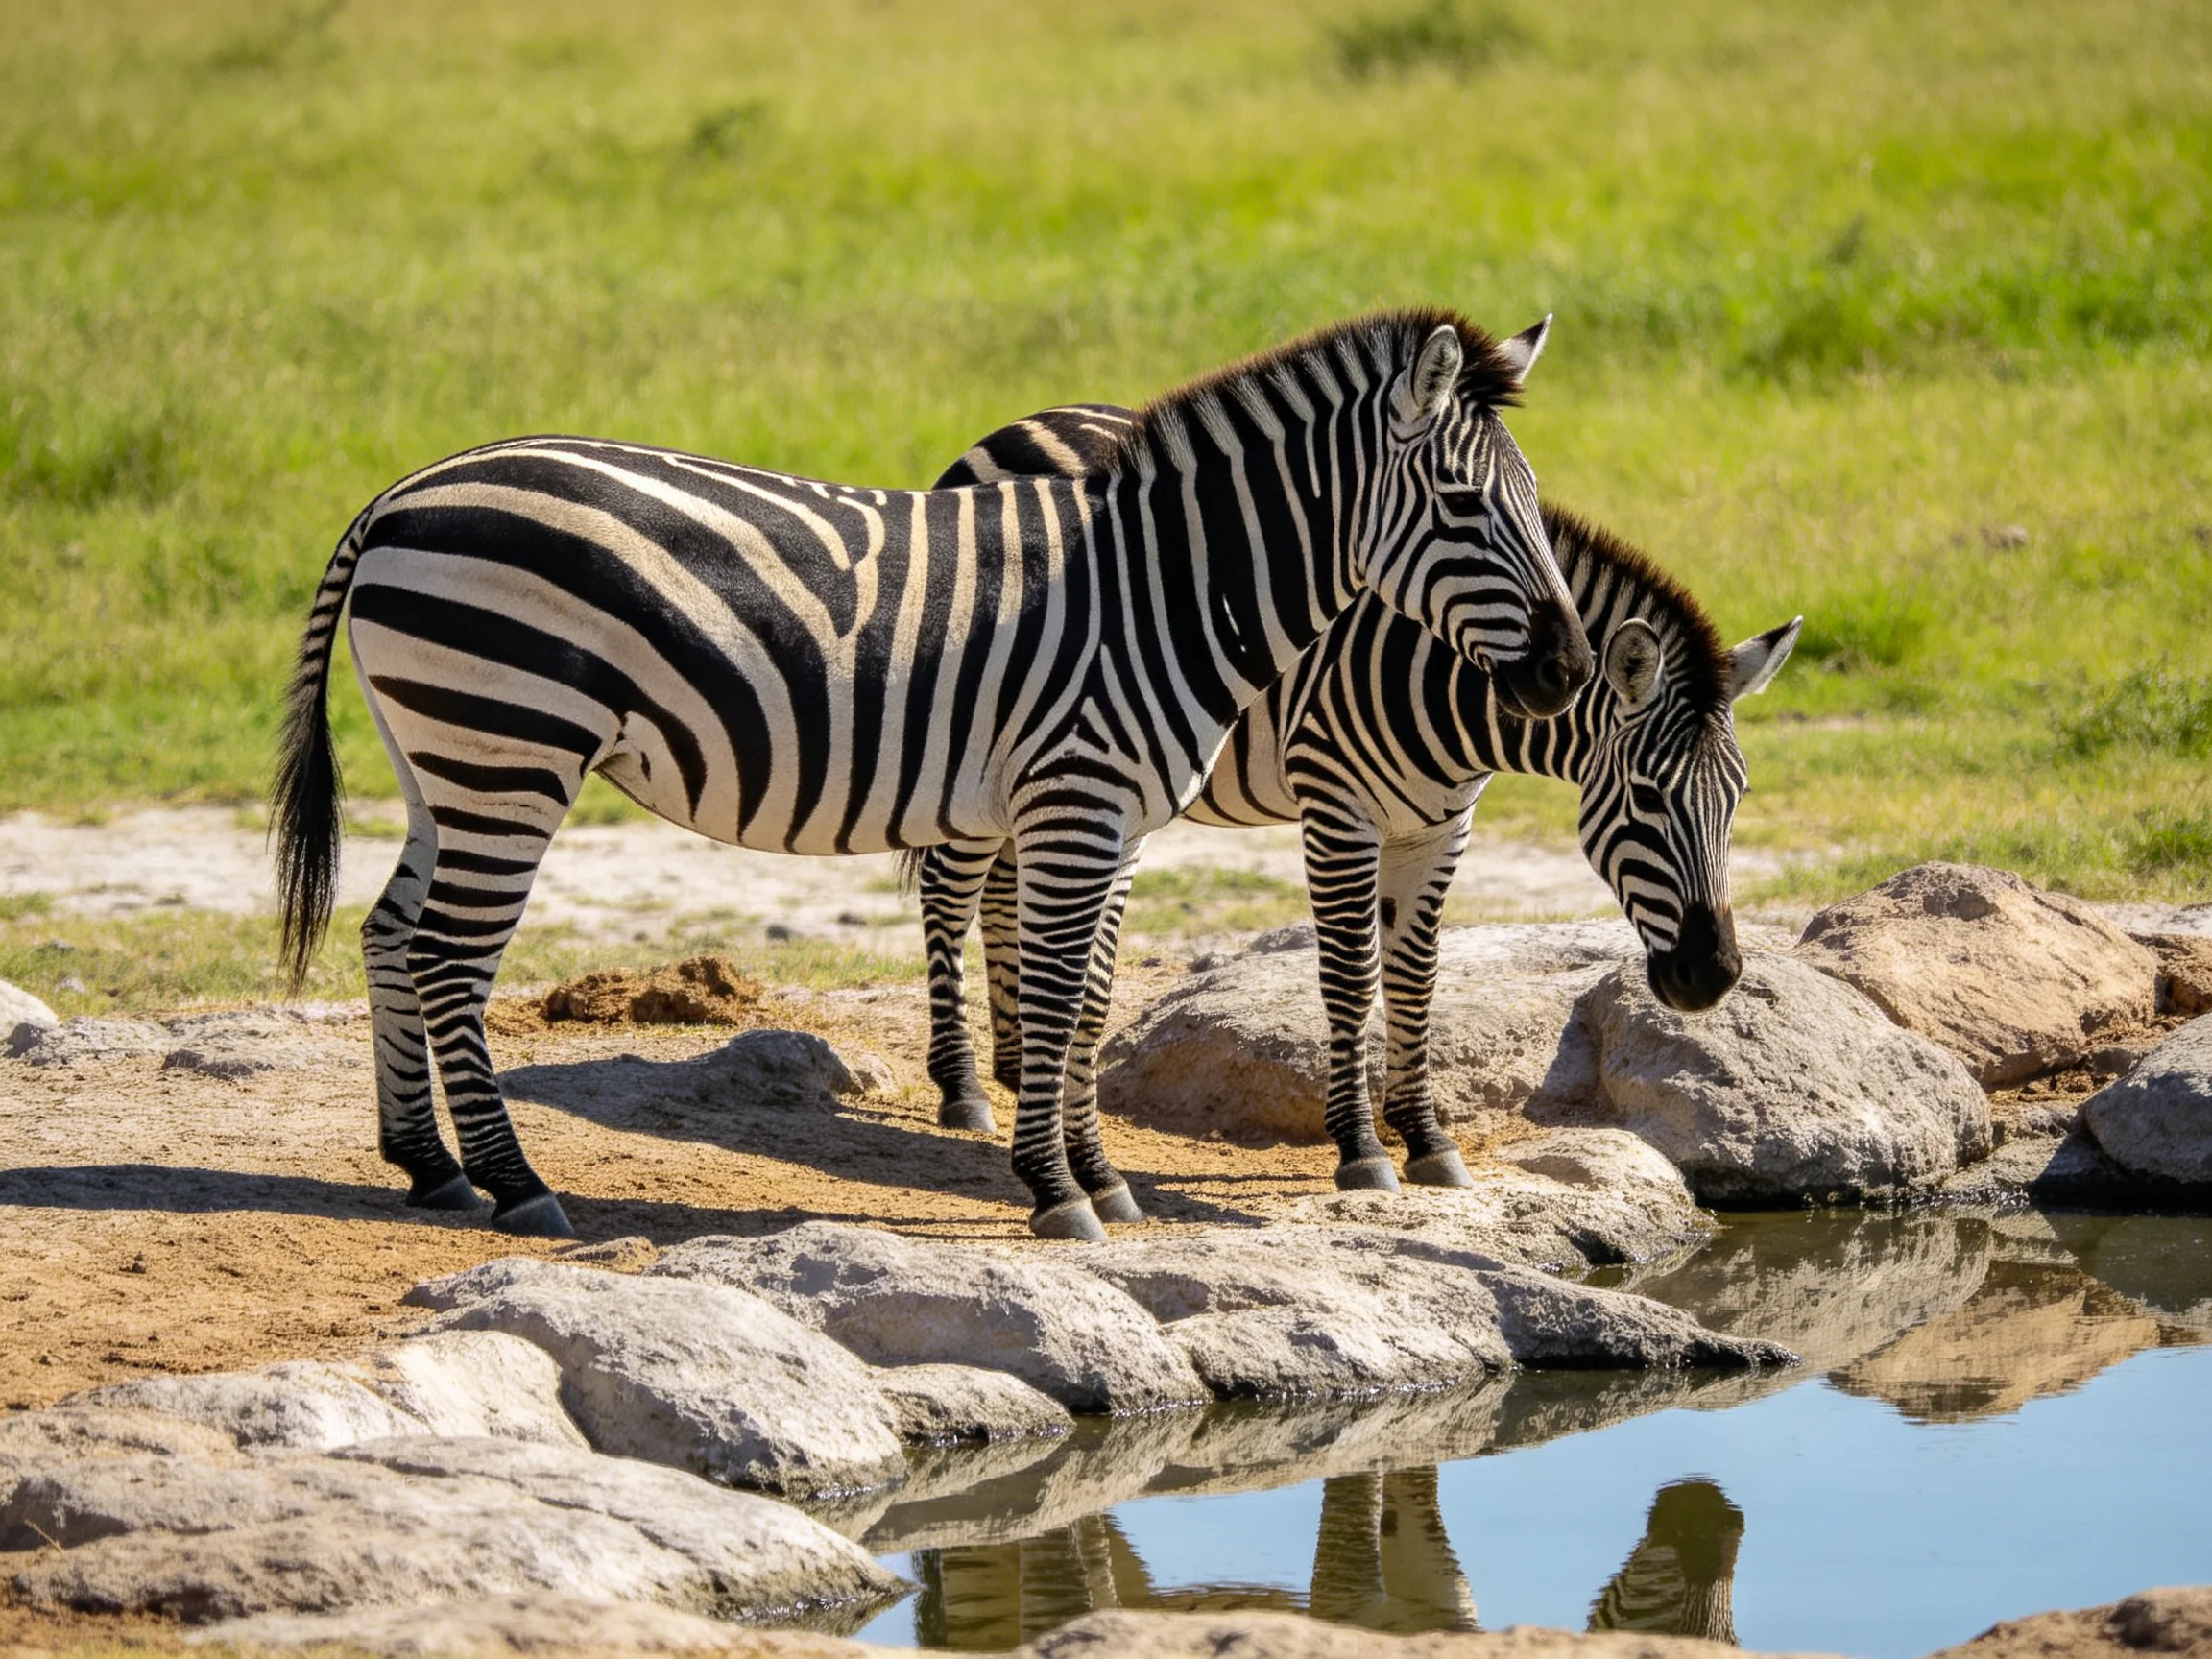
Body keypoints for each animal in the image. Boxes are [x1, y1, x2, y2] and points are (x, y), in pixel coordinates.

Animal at [271, 309, 1594, 1241]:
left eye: (1539, 503)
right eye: (1465, 503)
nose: (1572, 669)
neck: (1167, 589)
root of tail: (403, 492)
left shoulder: (1115, 819)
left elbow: (1092, 1001)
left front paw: (1102, 1180)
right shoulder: (1077, 800)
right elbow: (1057, 999)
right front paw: (1056, 1192)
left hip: (446, 753)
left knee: (391, 933)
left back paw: (430, 1169)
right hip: (513, 742)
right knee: (448, 956)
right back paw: (516, 1183)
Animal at [905, 403, 1799, 1194]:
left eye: (1739, 798)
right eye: (1647, 796)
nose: (1713, 976)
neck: (1452, 678)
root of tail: (1017, 424)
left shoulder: (1442, 825)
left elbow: (1416, 976)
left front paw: (1427, 1140)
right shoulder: (1339, 809)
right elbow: (1350, 975)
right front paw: (1362, 1149)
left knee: (1005, 888)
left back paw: (1018, 1065)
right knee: (952, 890)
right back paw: (964, 1089)